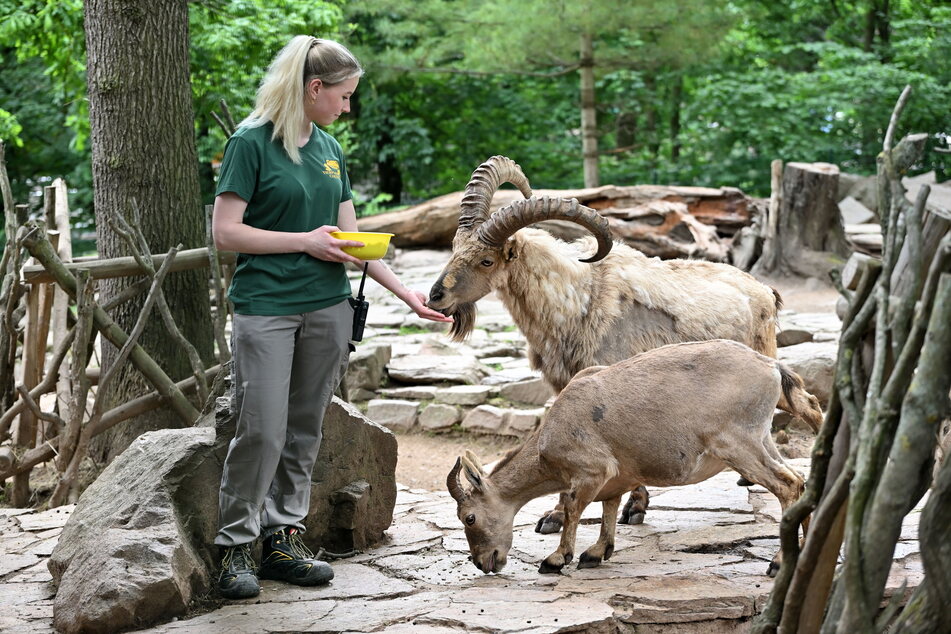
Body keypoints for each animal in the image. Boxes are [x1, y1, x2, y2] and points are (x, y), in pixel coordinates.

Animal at [426, 156, 804, 532]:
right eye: (454, 249)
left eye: (486, 260)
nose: (435, 297)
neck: (579, 298)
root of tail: (765, 291)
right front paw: (567, 515)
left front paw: (616, 510)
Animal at [448, 338, 824, 576]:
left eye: (469, 517)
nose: (483, 562)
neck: (549, 437)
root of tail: (771, 366)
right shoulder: (617, 478)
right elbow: (609, 508)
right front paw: (597, 552)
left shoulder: (589, 471)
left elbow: (573, 509)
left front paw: (556, 559)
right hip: (762, 439)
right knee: (802, 477)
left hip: (738, 444)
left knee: (788, 484)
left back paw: (779, 561)